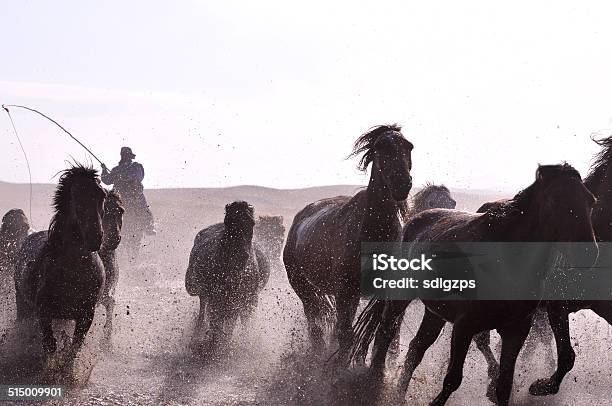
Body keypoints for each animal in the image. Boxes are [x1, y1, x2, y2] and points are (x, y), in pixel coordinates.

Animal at [14, 163, 107, 366]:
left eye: (101, 194)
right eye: (76, 197)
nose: (95, 238)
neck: (74, 271)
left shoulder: (86, 314)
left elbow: (74, 347)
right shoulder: (44, 311)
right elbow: (50, 345)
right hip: (24, 306)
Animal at [185, 201, 268, 356]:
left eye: (252, 223)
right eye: (228, 222)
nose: (240, 255)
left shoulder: (239, 300)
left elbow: (231, 323)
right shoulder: (216, 298)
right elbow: (216, 321)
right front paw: (213, 345)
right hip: (206, 296)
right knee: (204, 311)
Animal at [284, 123, 414, 356]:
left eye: (409, 146)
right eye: (380, 146)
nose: (402, 183)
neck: (372, 232)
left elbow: (383, 335)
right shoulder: (347, 293)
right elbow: (347, 335)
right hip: (303, 287)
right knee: (315, 326)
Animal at [350, 164, 596, 406]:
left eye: (591, 201)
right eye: (555, 200)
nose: (588, 253)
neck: (506, 266)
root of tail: (415, 220)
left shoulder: (516, 331)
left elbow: (503, 386)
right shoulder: (464, 326)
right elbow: (452, 379)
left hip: (435, 312)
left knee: (416, 349)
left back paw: (399, 396)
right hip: (401, 295)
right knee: (385, 334)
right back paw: (375, 383)